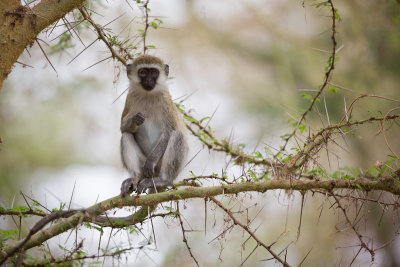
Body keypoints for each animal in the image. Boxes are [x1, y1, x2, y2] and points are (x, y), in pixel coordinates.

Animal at [119, 55, 188, 197]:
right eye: (143, 72)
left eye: (154, 72)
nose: (149, 80)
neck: (148, 94)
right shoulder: (130, 97)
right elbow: (123, 128)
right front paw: (134, 120)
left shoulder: (165, 101)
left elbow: (169, 132)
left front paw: (150, 162)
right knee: (126, 135)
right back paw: (135, 177)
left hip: (161, 167)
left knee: (178, 135)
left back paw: (163, 180)